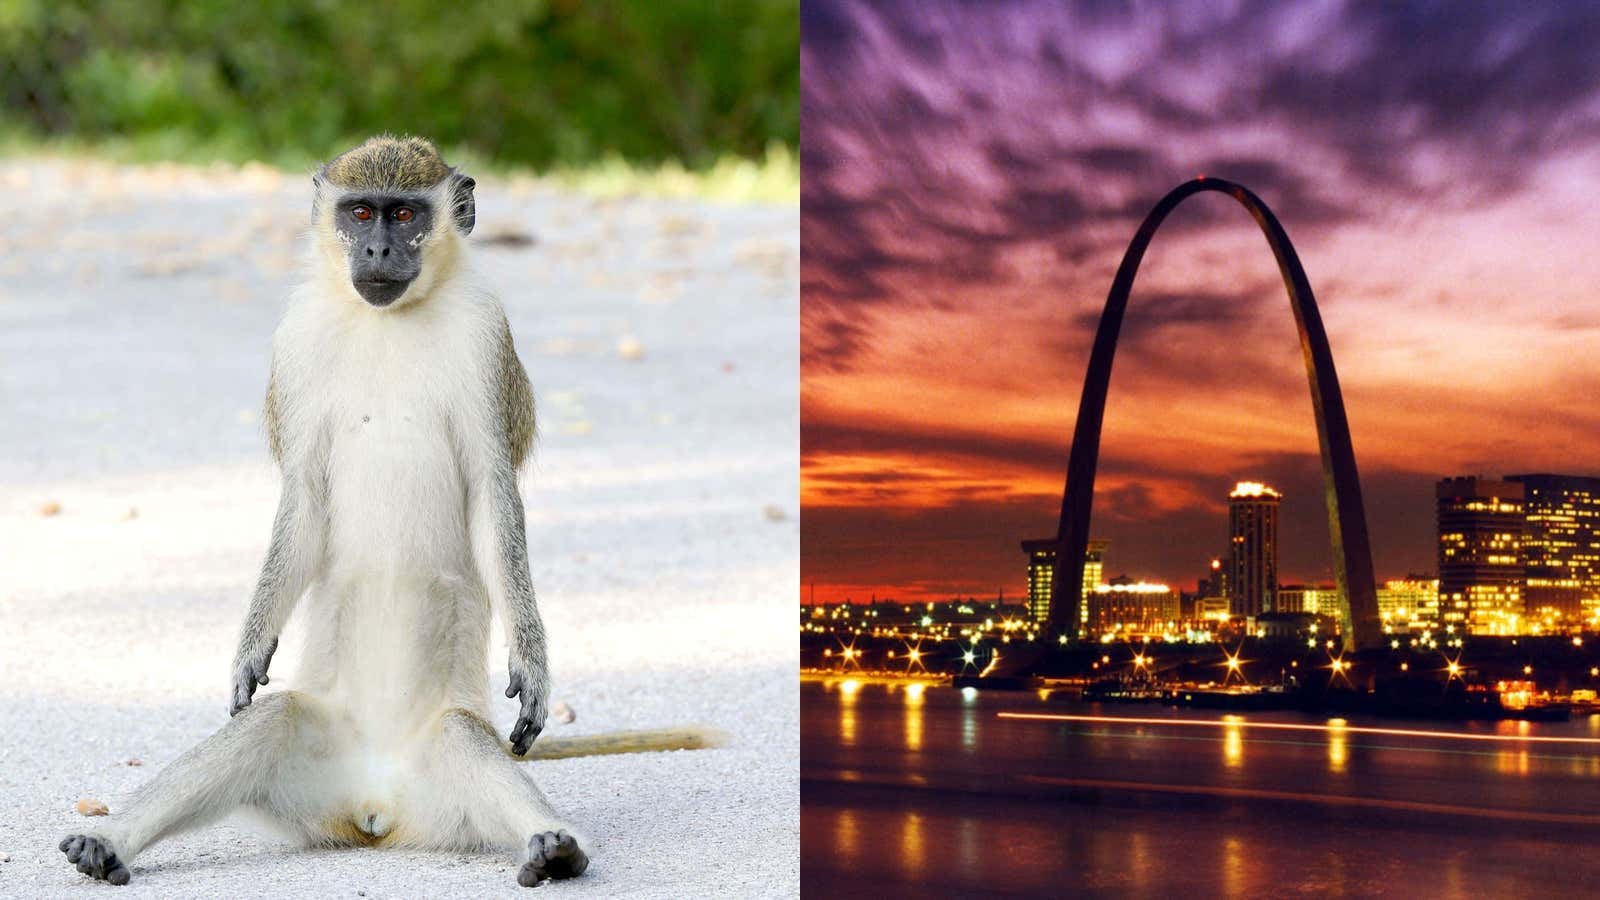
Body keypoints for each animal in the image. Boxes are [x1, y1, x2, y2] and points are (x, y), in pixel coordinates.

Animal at [58, 135, 708, 888]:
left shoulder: (486, 335)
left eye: (403, 214)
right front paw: (250, 648)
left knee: (461, 736)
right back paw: (109, 842)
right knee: (272, 720)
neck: (387, 320)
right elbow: (303, 495)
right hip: (314, 771)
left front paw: (532, 661)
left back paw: (554, 846)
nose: (375, 250)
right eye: (360, 212)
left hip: (439, 779)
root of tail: (374, 807)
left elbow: (492, 490)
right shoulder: (295, 340)